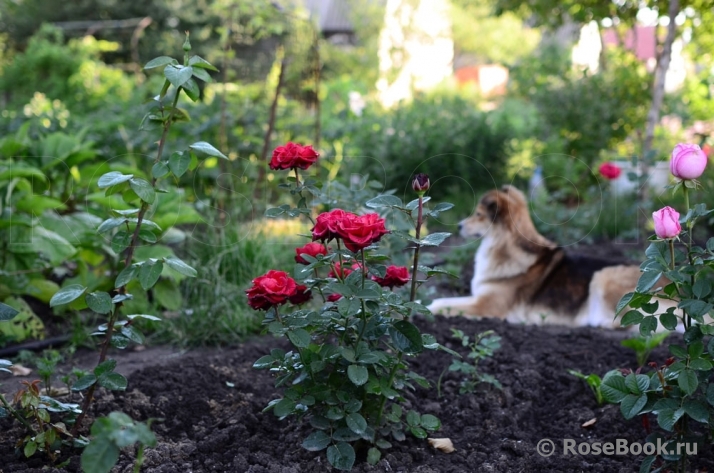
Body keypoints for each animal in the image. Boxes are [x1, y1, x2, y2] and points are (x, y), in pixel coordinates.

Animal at [426, 185, 648, 328]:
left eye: (479, 214)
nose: (459, 226)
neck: (503, 246)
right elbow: (443, 299)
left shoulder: (486, 305)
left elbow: (442, 304)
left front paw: (425, 307)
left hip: (603, 276)